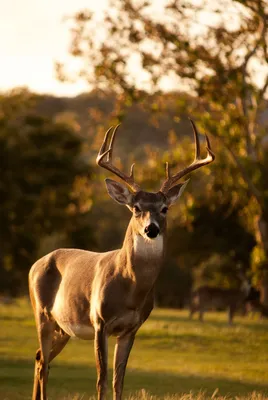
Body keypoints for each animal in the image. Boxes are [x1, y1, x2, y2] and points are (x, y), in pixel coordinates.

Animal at [28, 119, 215, 400]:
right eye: (136, 208)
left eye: (164, 208)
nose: (151, 229)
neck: (130, 289)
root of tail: (35, 265)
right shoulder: (99, 322)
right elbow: (101, 380)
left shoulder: (131, 328)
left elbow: (119, 381)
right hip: (42, 313)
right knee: (44, 363)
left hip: (63, 327)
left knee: (41, 358)